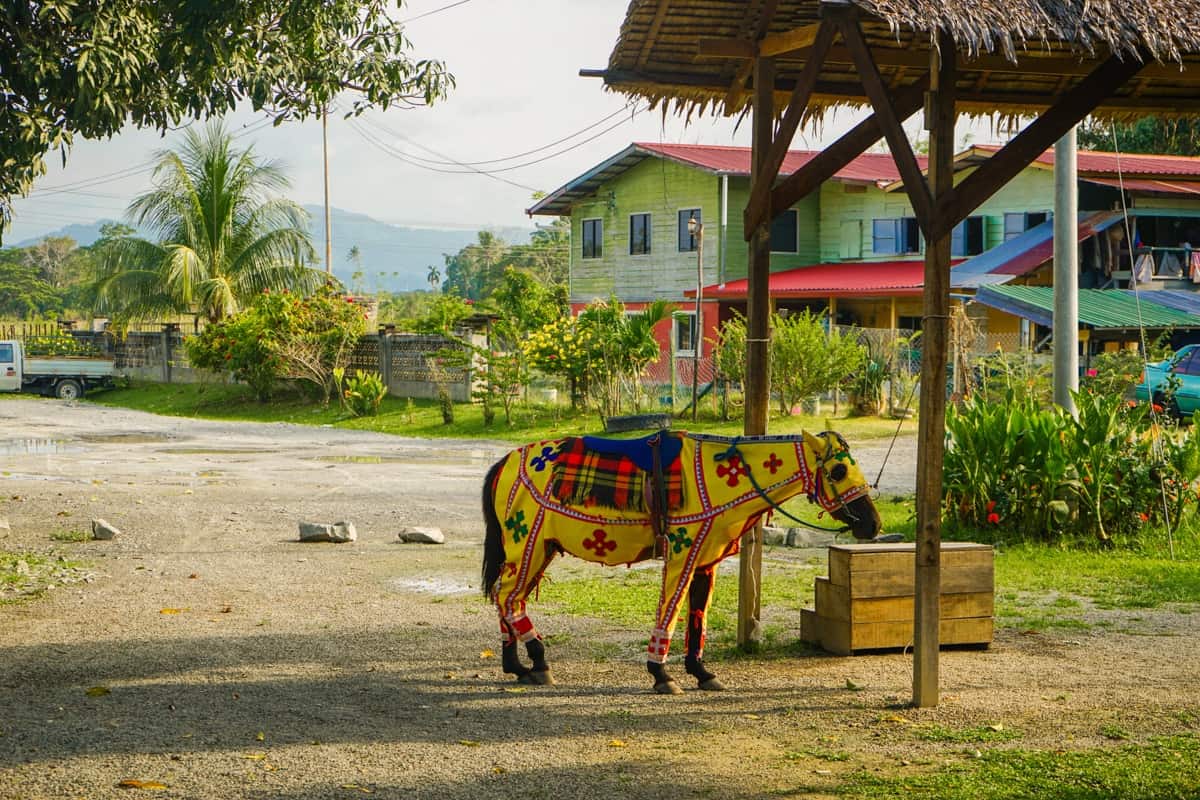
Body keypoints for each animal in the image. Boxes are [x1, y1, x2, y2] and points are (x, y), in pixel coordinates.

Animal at [477, 429, 883, 695]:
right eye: (838, 471)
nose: (872, 524)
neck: (722, 478)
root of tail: (504, 463)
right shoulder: (683, 553)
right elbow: (670, 610)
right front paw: (661, 674)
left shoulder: (706, 561)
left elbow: (697, 616)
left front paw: (701, 672)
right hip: (526, 545)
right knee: (509, 597)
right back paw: (538, 661)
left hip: (537, 549)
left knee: (506, 596)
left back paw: (516, 666)